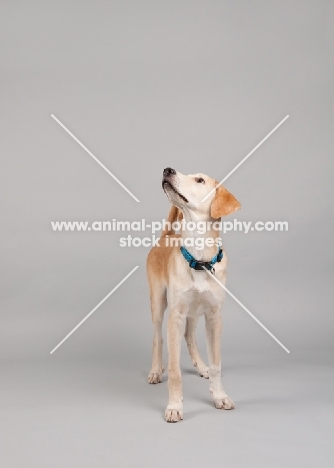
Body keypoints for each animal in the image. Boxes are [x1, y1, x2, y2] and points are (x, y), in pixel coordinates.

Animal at [146, 167, 240, 420]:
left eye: (199, 180)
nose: (167, 170)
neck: (199, 258)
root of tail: (167, 236)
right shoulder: (175, 316)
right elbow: (175, 370)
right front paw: (174, 406)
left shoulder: (214, 317)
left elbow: (217, 364)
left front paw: (219, 396)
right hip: (158, 304)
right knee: (157, 338)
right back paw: (156, 370)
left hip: (195, 312)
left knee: (189, 336)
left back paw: (201, 366)